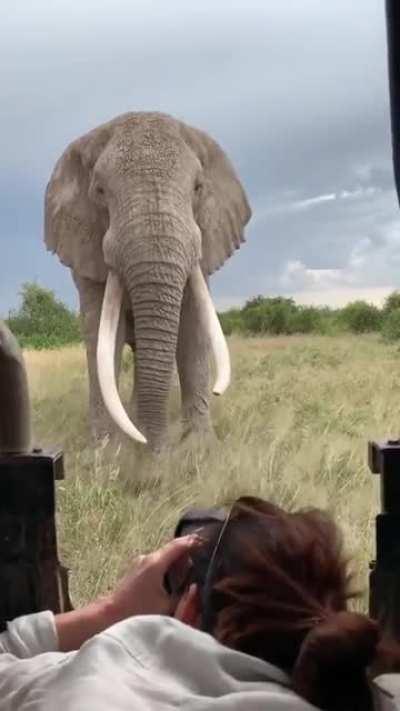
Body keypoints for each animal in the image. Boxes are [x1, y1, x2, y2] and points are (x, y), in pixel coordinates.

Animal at [44, 112, 251, 452]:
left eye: (198, 187)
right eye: (99, 191)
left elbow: (193, 328)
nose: (156, 453)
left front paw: (199, 448)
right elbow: (102, 335)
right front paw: (106, 451)